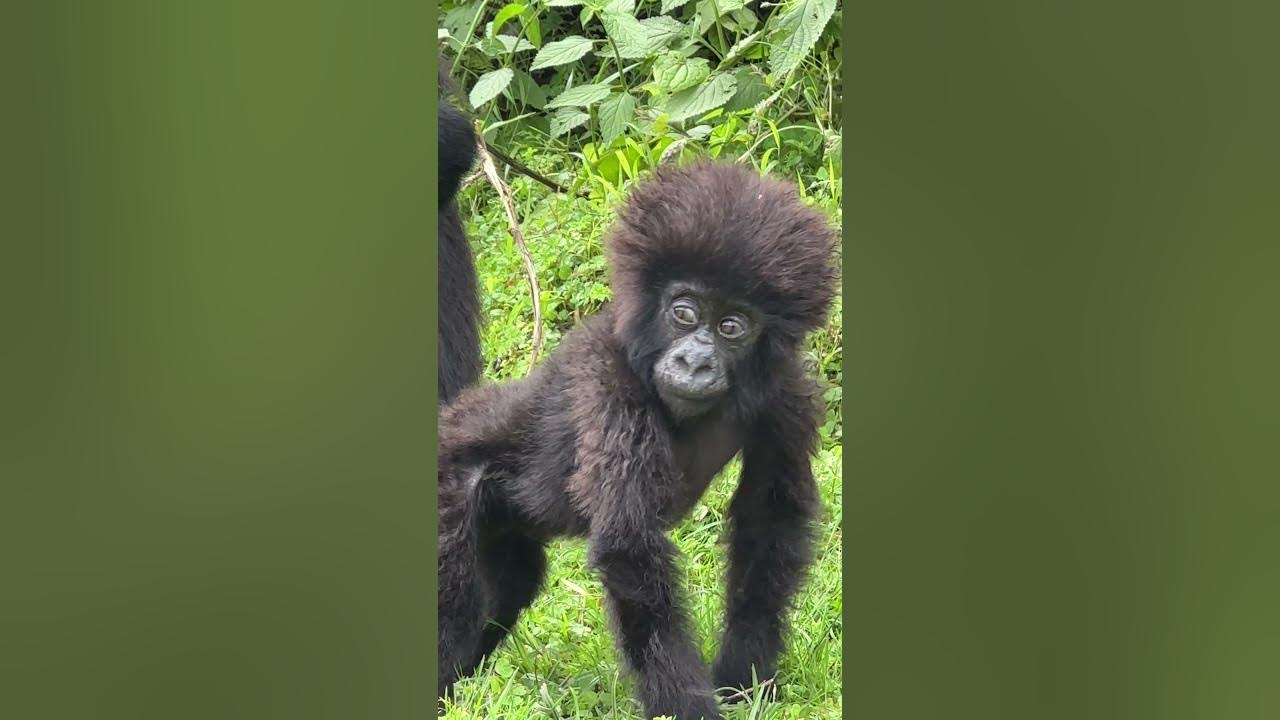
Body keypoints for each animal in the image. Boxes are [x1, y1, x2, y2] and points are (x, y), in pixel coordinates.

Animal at [440, 161, 839, 717]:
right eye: (684, 313)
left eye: (732, 326)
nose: (695, 362)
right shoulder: (612, 384)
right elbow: (631, 554)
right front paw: (689, 708)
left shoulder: (785, 388)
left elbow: (770, 521)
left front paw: (746, 675)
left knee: (511, 583)